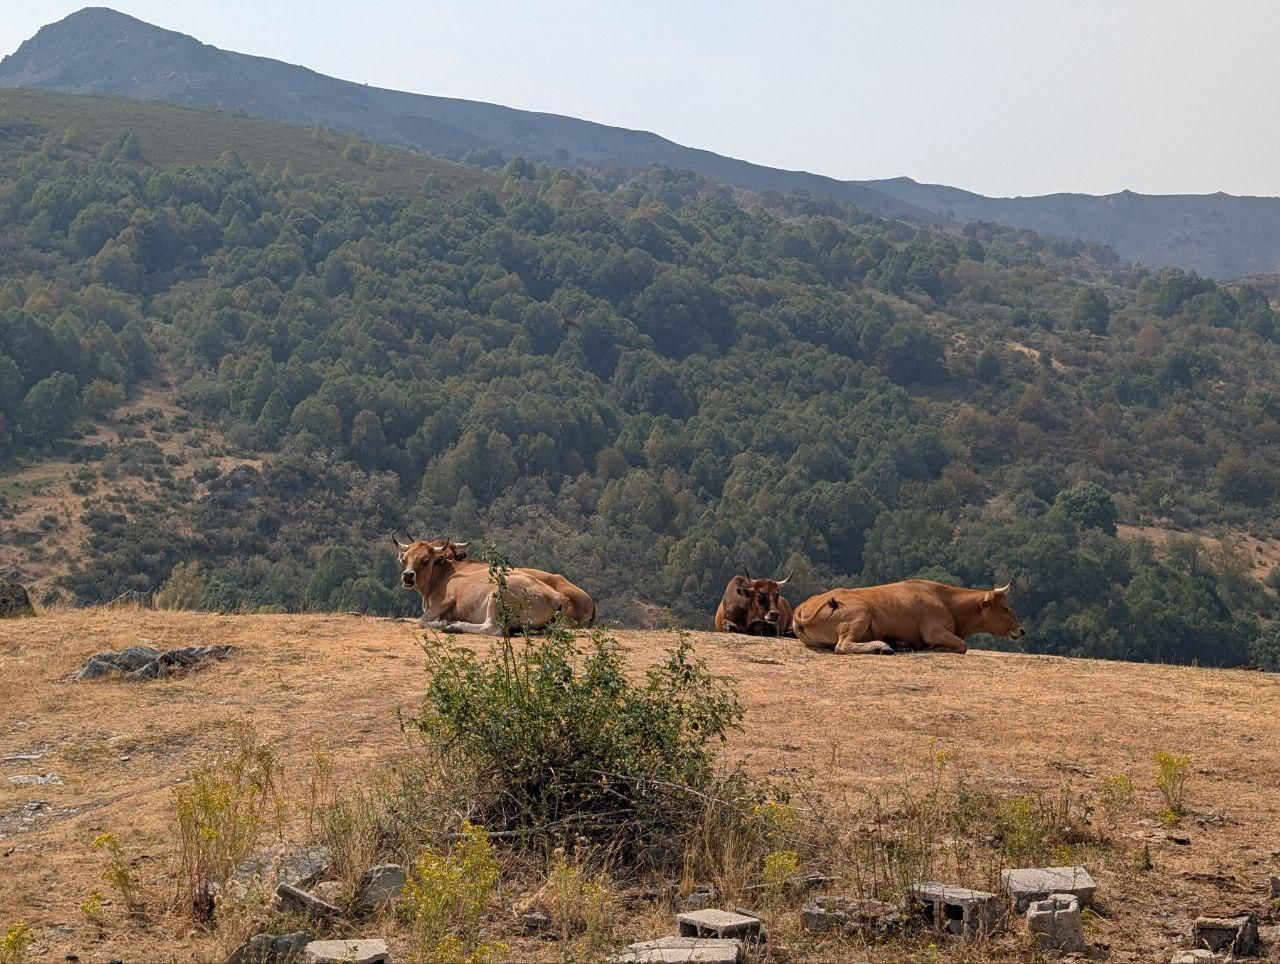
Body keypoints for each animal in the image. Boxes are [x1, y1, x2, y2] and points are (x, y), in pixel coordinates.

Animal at [792, 579, 1024, 655]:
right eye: (1005, 608)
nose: (1021, 630)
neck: (947, 601)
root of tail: (803, 605)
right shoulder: (934, 631)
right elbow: (962, 645)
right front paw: (934, 648)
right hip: (861, 613)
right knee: (843, 646)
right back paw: (883, 646)